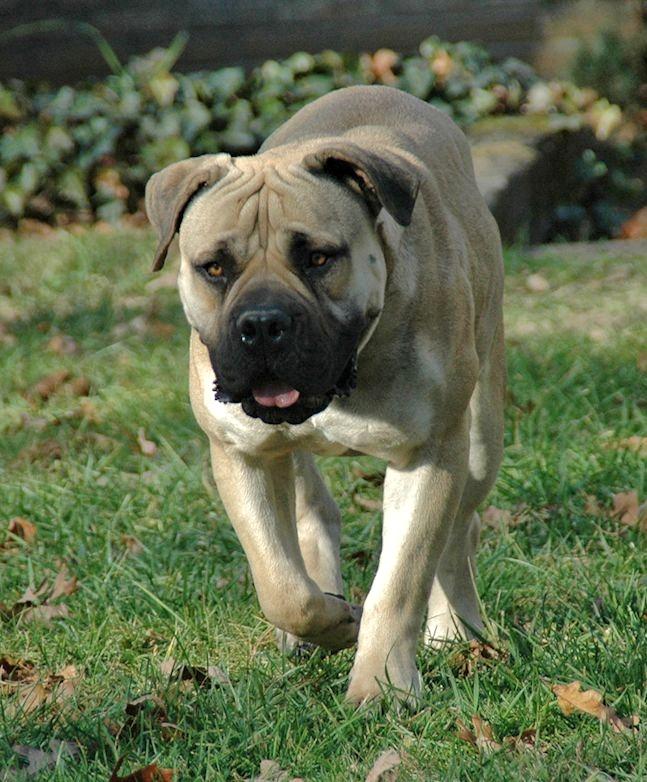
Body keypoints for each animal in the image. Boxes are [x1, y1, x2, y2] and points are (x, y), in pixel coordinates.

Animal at [147, 84, 506, 704]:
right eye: (214, 267)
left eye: (318, 258)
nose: (263, 322)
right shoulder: (240, 453)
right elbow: (280, 583)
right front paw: (335, 621)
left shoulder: (431, 452)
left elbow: (402, 577)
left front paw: (382, 686)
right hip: (285, 452)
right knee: (314, 512)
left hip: (480, 436)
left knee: (459, 529)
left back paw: (456, 628)